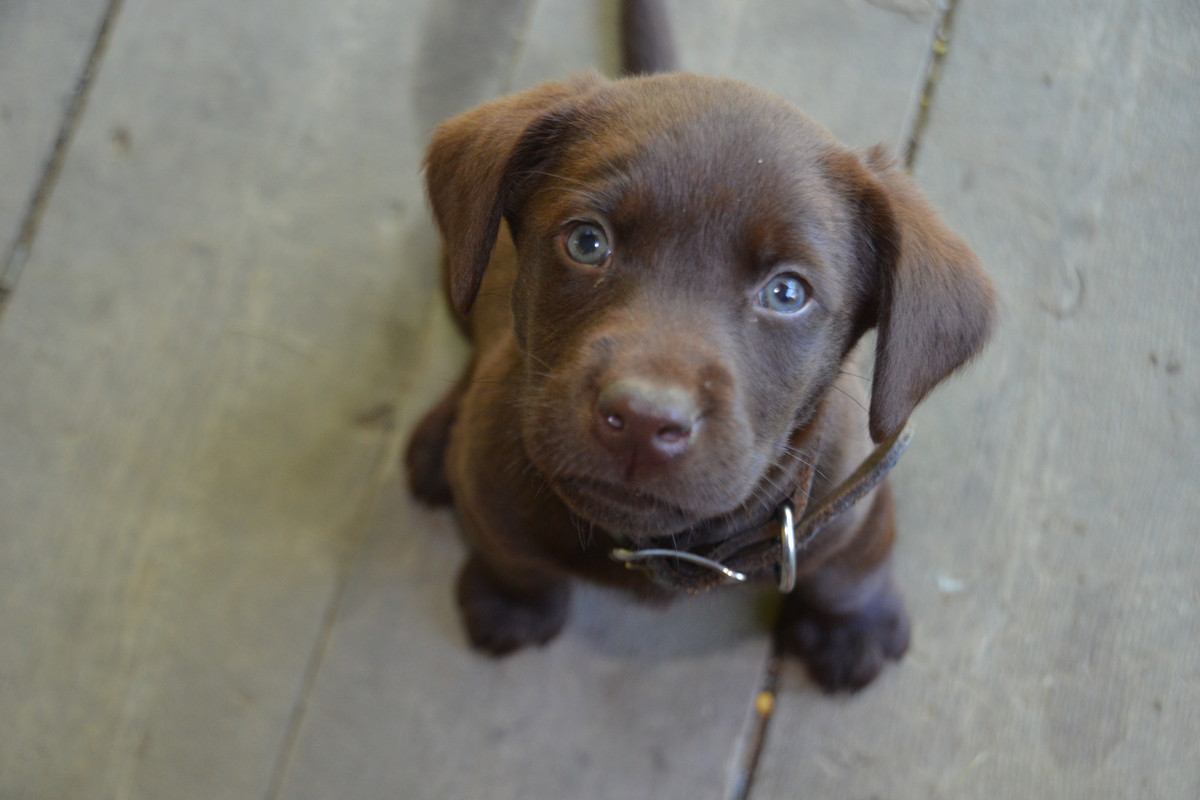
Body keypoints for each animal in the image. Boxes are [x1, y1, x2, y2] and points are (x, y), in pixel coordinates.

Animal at [405, 0, 993, 695]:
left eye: (787, 292)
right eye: (586, 242)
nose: (642, 419)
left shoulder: (852, 493)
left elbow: (855, 565)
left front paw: (855, 627)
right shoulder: (489, 477)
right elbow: (510, 552)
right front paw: (510, 603)